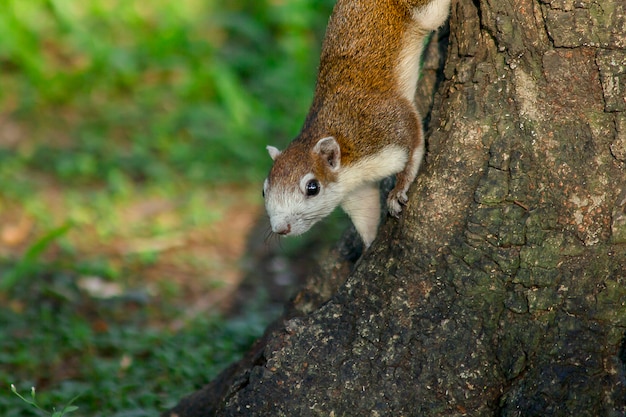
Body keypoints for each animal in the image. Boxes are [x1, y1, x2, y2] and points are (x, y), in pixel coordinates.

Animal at [262, 0, 448, 247]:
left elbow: (413, 140)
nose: (280, 229)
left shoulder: (381, 125)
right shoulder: (355, 192)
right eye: (264, 191)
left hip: (425, 12)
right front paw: (368, 247)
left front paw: (398, 190)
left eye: (313, 188)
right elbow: (367, 214)